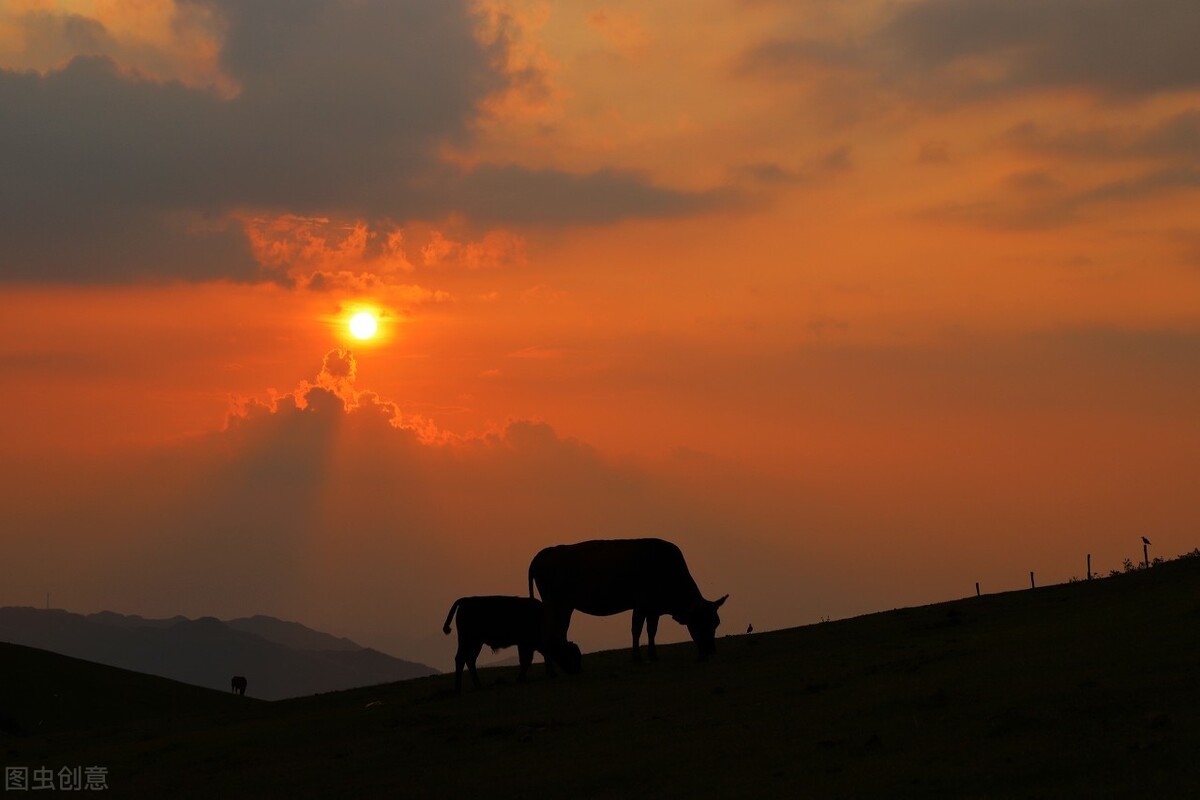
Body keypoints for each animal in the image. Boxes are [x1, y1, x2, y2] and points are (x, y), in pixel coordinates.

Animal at [446, 597, 585, 690]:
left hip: (475, 643)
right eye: (573, 655)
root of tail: (466, 600)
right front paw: (521, 678)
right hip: (468, 641)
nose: (578, 670)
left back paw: (477, 685)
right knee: (461, 659)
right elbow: (526, 660)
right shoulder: (525, 645)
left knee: (469, 660)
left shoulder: (526, 645)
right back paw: (459, 688)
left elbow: (533, 659)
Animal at [530, 537, 724, 662]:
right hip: (555, 604)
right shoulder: (641, 606)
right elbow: (636, 630)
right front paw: (637, 657)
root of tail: (546, 552)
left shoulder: (653, 609)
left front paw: (653, 656)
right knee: (550, 631)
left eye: (715, 623)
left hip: (564, 606)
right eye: (699, 623)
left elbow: (651, 631)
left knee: (560, 630)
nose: (711, 650)